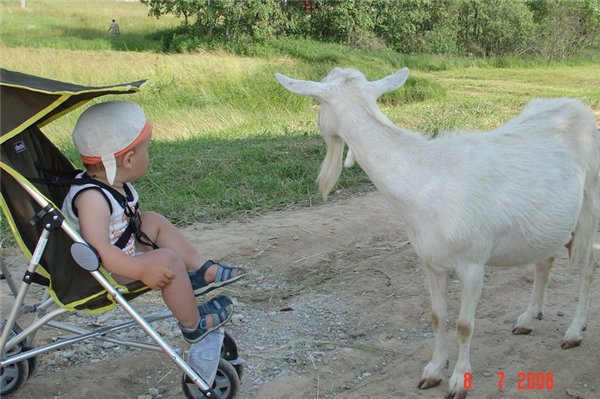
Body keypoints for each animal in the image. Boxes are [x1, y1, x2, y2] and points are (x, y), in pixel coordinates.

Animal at [276, 69, 600, 399]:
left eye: (318, 103)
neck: (428, 182)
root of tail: (578, 107)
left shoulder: (473, 264)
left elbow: (464, 325)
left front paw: (459, 381)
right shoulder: (430, 261)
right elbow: (437, 316)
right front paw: (433, 371)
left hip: (589, 209)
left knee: (587, 266)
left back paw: (574, 331)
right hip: (549, 223)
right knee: (545, 261)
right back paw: (528, 318)